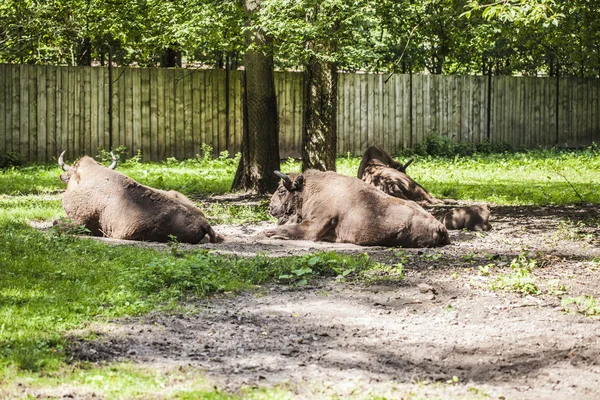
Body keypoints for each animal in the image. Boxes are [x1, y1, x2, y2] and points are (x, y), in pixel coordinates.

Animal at [264, 169, 450, 247]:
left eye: (281, 191)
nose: (270, 208)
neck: (309, 190)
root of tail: (439, 226)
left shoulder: (314, 226)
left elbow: (291, 229)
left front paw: (268, 233)